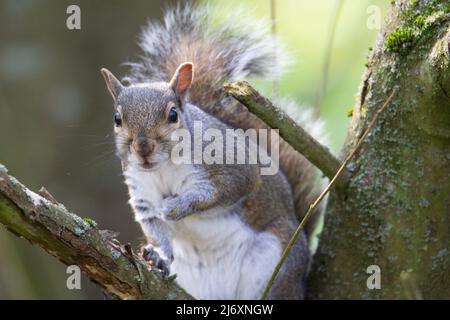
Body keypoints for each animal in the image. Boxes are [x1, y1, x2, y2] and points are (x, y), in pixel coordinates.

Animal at [101, 3, 326, 300]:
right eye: (117, 119)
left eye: (173, 114)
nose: (143, 148)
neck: (163, 169)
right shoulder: (143, 195)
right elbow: (156, 228)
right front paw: (159, 255)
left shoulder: (234, 165)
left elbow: (221, 190)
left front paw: (176, 206)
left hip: (275, 262)